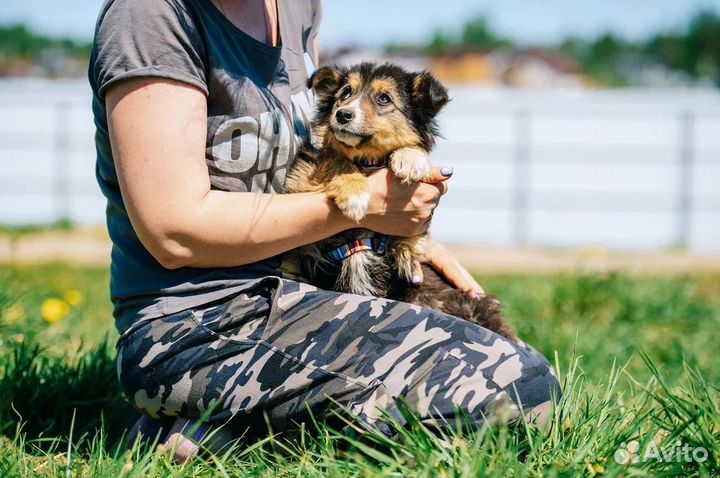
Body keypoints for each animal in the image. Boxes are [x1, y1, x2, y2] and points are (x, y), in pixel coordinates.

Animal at [284, 62, 516, 344]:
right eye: (345, 93)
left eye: (384, 98)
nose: (342, 114)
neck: (367, 161)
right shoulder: (299, 200)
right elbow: (332, 156)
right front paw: (354, 193)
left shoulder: (414, 241)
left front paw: (411, 159)